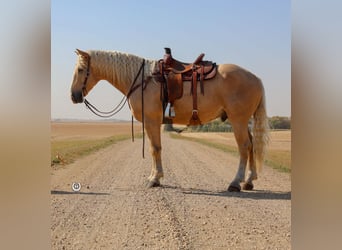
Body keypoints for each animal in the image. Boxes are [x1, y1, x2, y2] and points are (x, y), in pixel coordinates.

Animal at [70, 49, 268, 191]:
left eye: (80, 70)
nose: (74, 96)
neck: (142, 80)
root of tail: (256, 78)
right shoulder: (151, 122)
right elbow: (154, 148)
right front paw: (153, 177)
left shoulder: (152, 120)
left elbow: (155, 148)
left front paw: (155, 179)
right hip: (243, 121)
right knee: (252, 145)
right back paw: (249, 181)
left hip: (238, 120)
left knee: (244, 147)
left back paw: (235, 183)